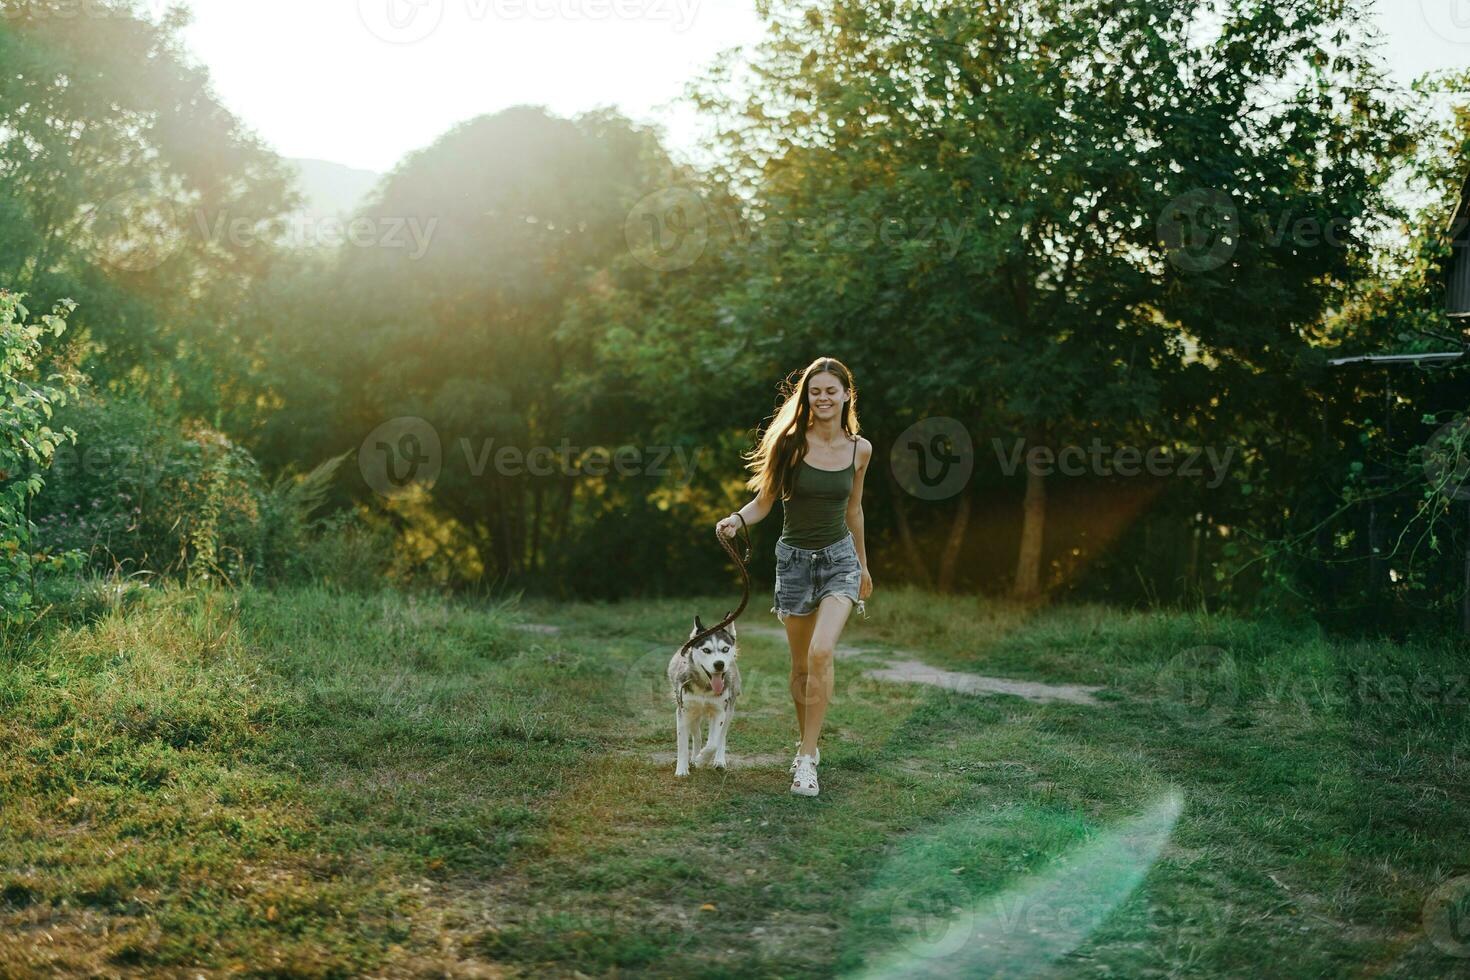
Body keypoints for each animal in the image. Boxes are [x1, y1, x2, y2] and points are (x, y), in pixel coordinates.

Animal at [670, 617, 740, 775]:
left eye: (725, 649)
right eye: (706, 650)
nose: (719, 664)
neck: (705, 687)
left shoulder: (720, 711)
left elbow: (713, 743)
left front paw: (702, 760)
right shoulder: (683, 711)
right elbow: (682, 744)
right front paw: (682, 770)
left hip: (729, 710)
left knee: (721, 736)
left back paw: (718, 761)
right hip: (694, 714)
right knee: (697, 736)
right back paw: (694, 757)